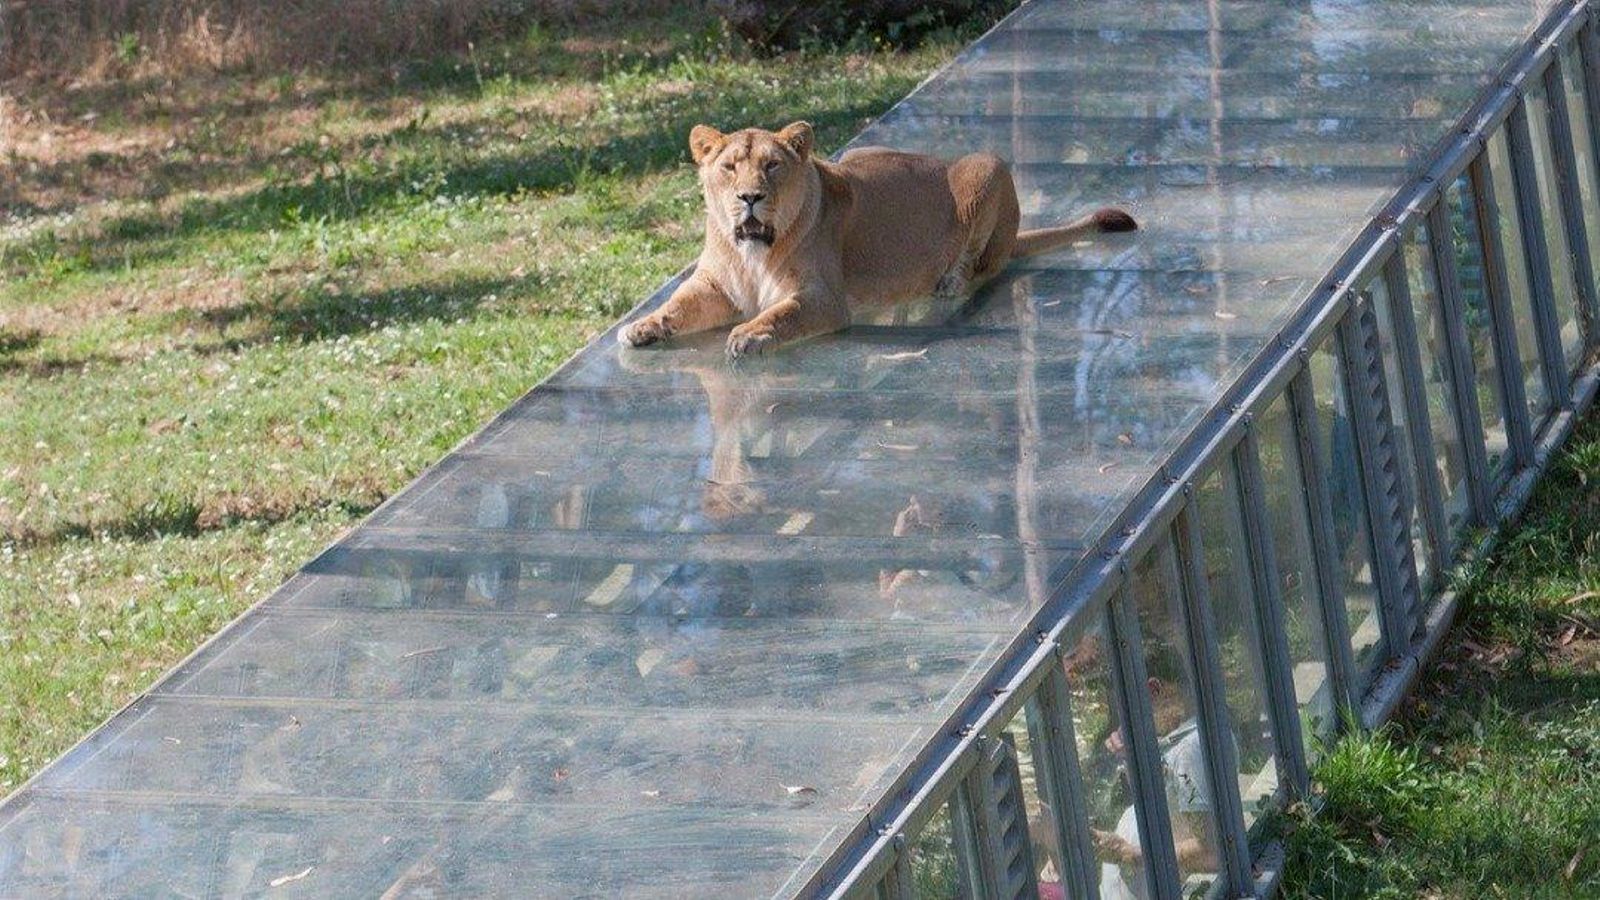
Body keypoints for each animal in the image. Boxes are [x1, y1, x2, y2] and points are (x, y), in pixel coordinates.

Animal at [618, 120, 1137, 358]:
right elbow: (677, 304)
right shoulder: (715, 286)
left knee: (981, 260)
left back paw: (949, 281)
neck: (751, 250)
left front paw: (749, 332)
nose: (749, 197)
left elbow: (783, 314)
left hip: (985, 166)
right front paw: (644, 326)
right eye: (728, 167)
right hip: (856, 154)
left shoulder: (823, 298)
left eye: (772, 165)